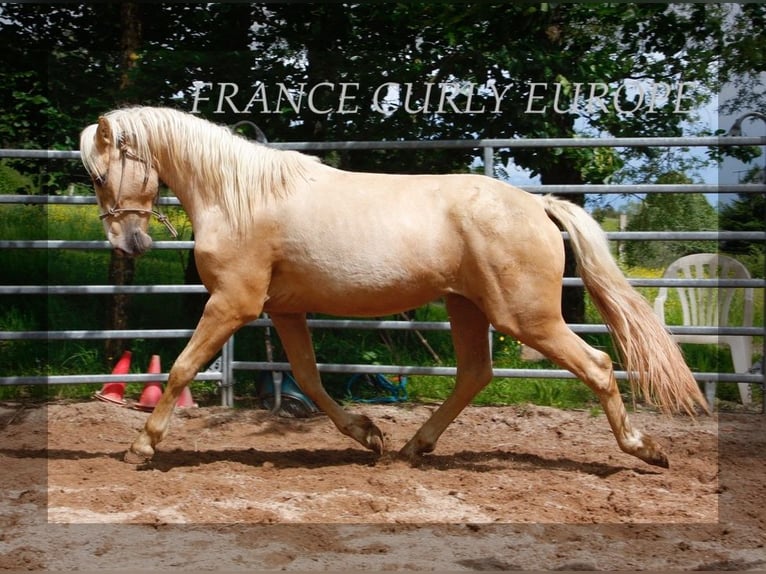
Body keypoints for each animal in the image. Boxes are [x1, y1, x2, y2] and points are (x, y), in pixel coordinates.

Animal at [81, 106, 712, 470]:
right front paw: (369, 435)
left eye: (99, 172)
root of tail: (536, 204)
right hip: (466, 307)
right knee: (474, 374)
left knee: (599, 366)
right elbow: (309, 378)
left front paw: (141, 447)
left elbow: (182, 368)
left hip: (526, 317)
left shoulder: (232, 305)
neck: (241, 197)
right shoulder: (283, 311)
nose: (129, 243)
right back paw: (412, 448)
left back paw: (645, 450)